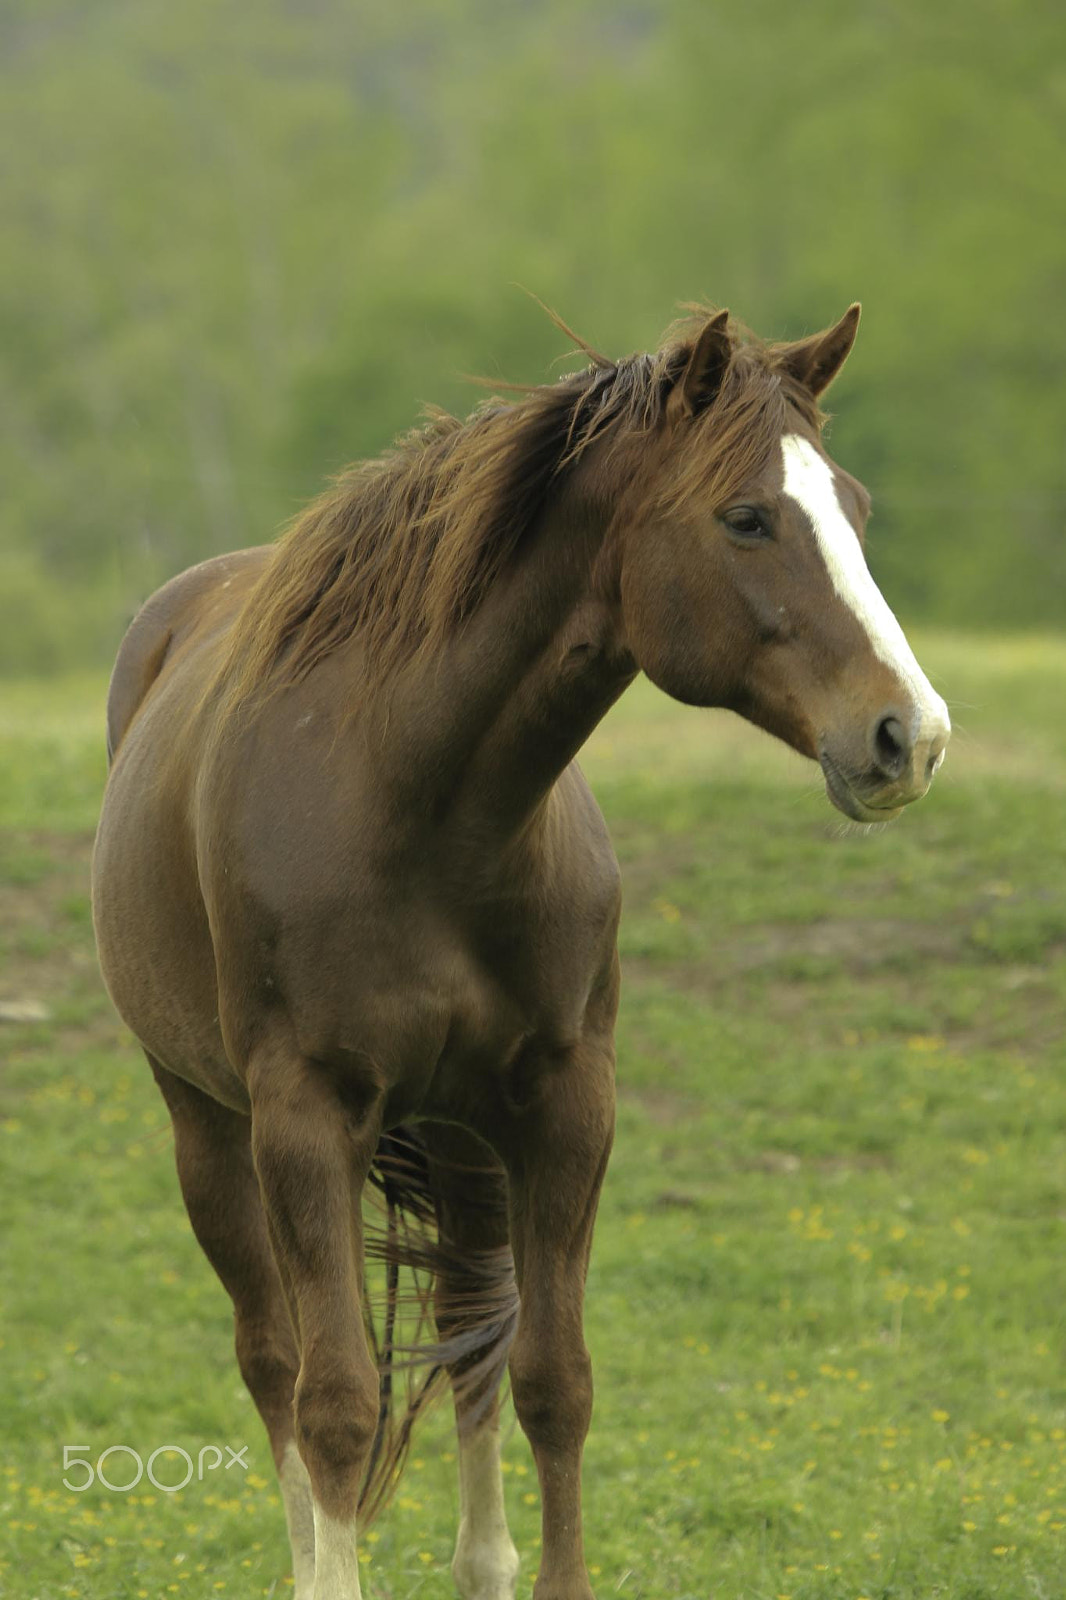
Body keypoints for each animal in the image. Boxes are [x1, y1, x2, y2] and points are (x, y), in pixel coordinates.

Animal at [91, 301, 950, 1600]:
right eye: (745, 517)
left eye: (849, 506)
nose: (911, 735)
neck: (414, 804)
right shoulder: (306, 1115)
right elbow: (336, 1402)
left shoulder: (562, 1103)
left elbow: (552, 1377)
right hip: (210, 1128)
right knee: (274, 1361)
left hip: (458, 1136)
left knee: (466, 1325)